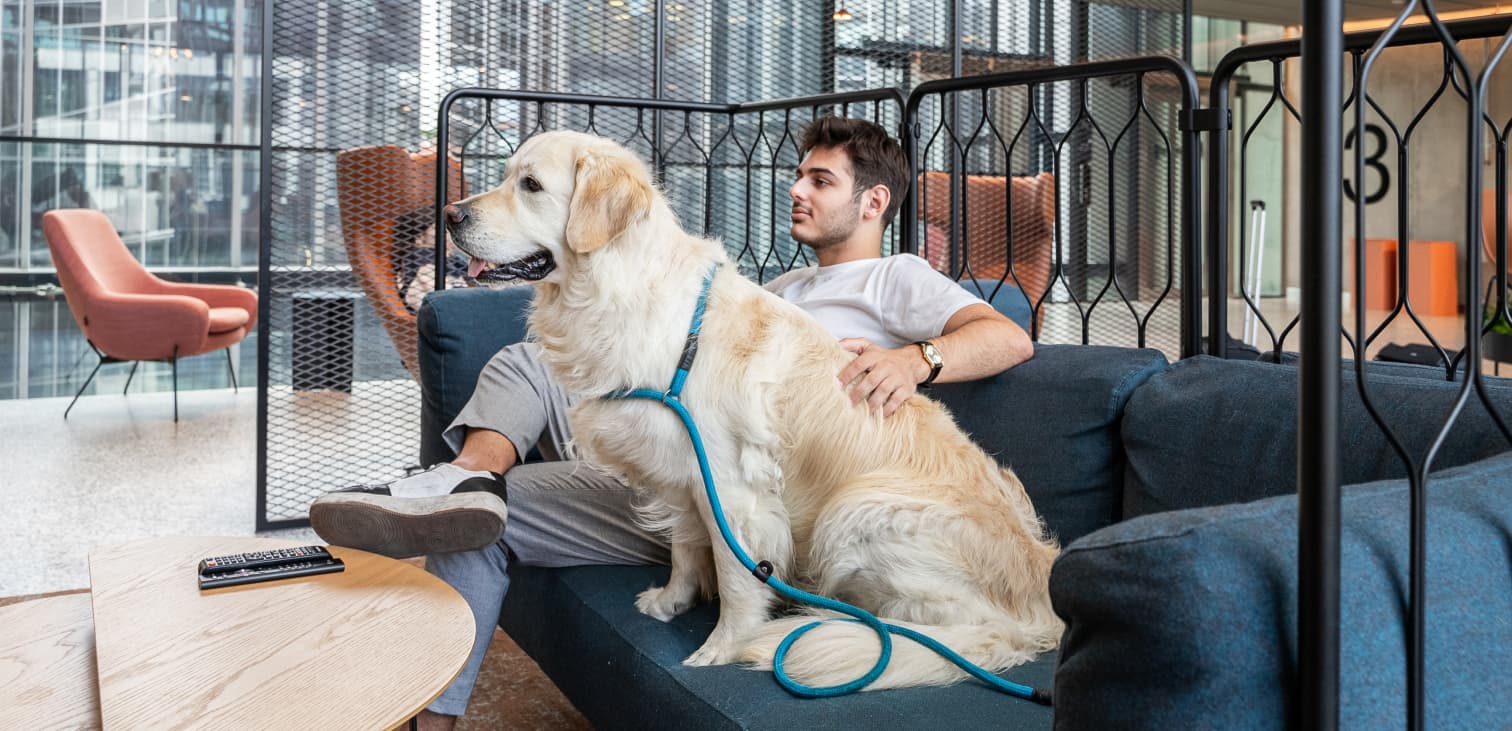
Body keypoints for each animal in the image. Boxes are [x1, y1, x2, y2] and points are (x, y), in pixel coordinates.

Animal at [444, 128, 1064, 690]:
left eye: (530, 185)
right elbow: (686, 548)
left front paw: (722, 647)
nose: (451, 215)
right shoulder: (685, 470)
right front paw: (672, 600)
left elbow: (738, 576)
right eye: (507, 175)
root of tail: (1043, 614)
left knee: (930, 629)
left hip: (858, 510)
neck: (621, 291)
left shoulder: (732, 485)